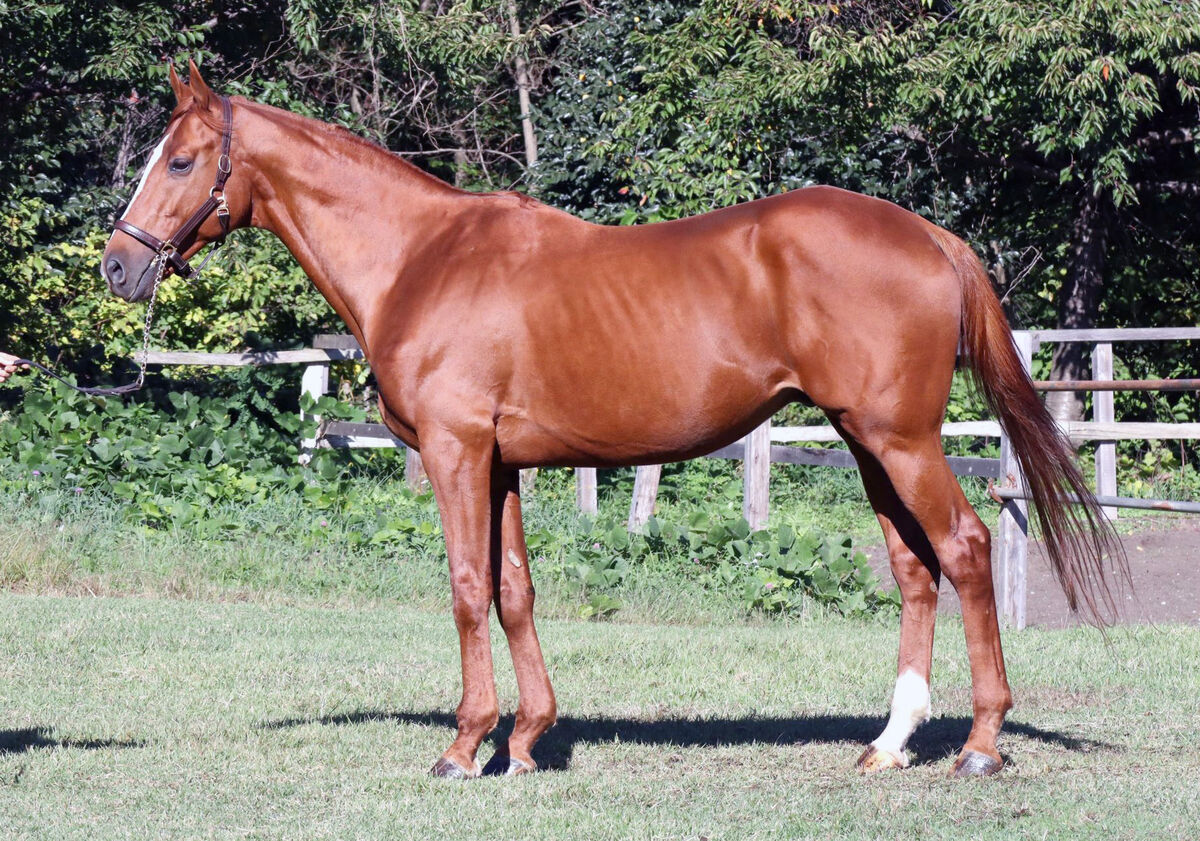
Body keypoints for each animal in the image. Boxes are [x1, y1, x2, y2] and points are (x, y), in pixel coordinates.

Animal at [103, 63, 1123, 782]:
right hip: (867, 441)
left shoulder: (455, 452)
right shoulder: (500, 463)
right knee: (916, 569)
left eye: (181, 160)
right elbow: (514, 589)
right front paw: (522, 742)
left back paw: (980, 743)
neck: (421, 257)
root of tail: (932, 237)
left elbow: (466, 586)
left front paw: (462, 747)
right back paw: (890, 741)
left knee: (963, 549)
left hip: (899, 439)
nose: (118, 264)